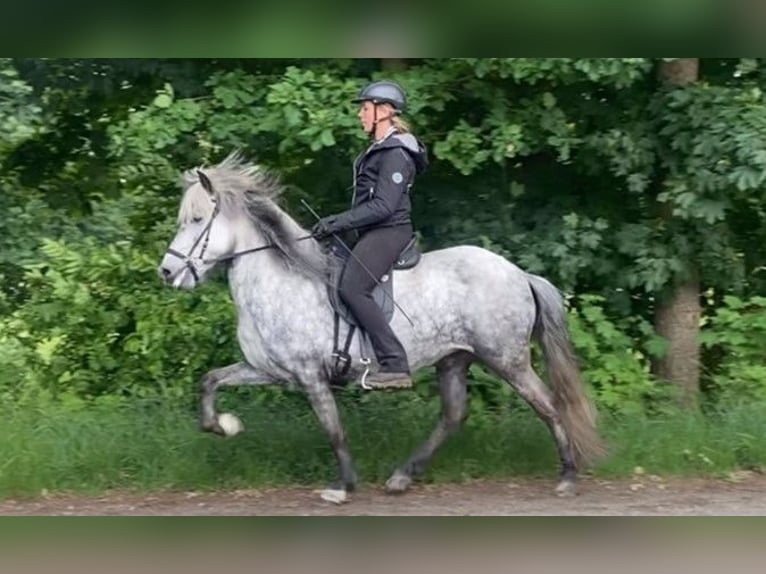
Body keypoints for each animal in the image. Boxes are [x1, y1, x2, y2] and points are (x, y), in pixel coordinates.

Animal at [158, 155, 608, 506]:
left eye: (197, 220)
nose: (167, 272)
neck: (281, 279)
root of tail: (519, 274)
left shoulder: (309, 375)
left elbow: (333, 430)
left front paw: (342, 487)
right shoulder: (268, 369)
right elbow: (209, 381)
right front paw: (225, 426)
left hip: (506, 359)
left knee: (548, 405)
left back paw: (568, 478)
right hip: (454, 359)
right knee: (453, 415)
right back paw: (402, 477)